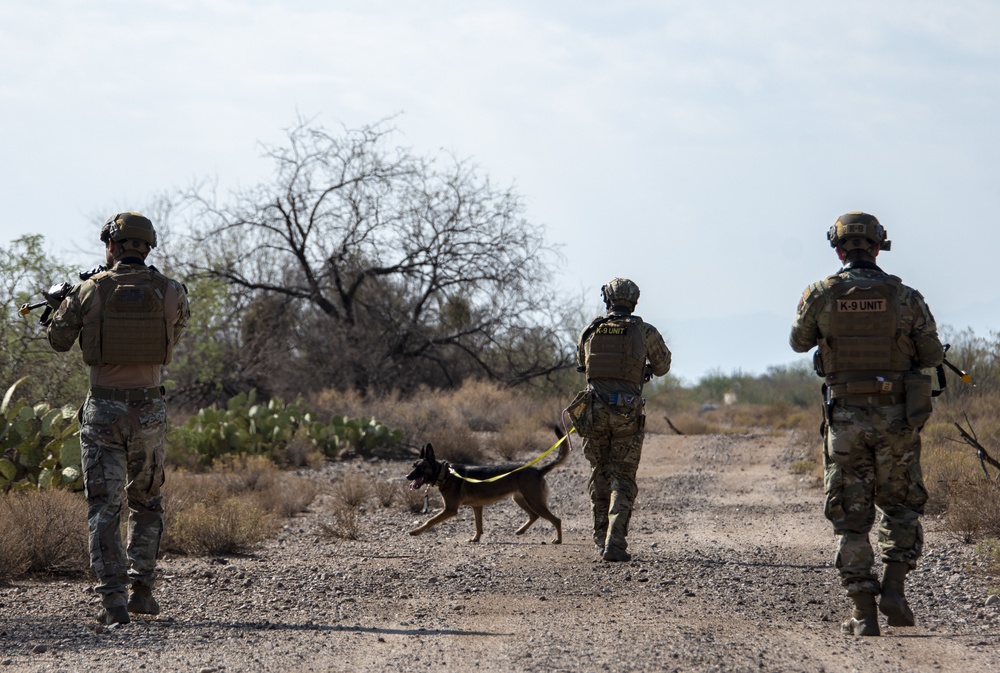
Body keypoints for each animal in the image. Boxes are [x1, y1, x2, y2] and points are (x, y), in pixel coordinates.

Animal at [402, 428, 568, 544]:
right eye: (413, 466)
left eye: (421, 468)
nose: (407, 477)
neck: (445, 474)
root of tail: (538, 470)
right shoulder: (477, 507)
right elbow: (478, 525)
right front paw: (475, 538)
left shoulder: (450, 509)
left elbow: (430, 520)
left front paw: (416, 531)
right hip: (520, 499)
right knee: (534, 515)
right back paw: (521, 531)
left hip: (534, 500)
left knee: (556, 520)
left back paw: (558, 540)